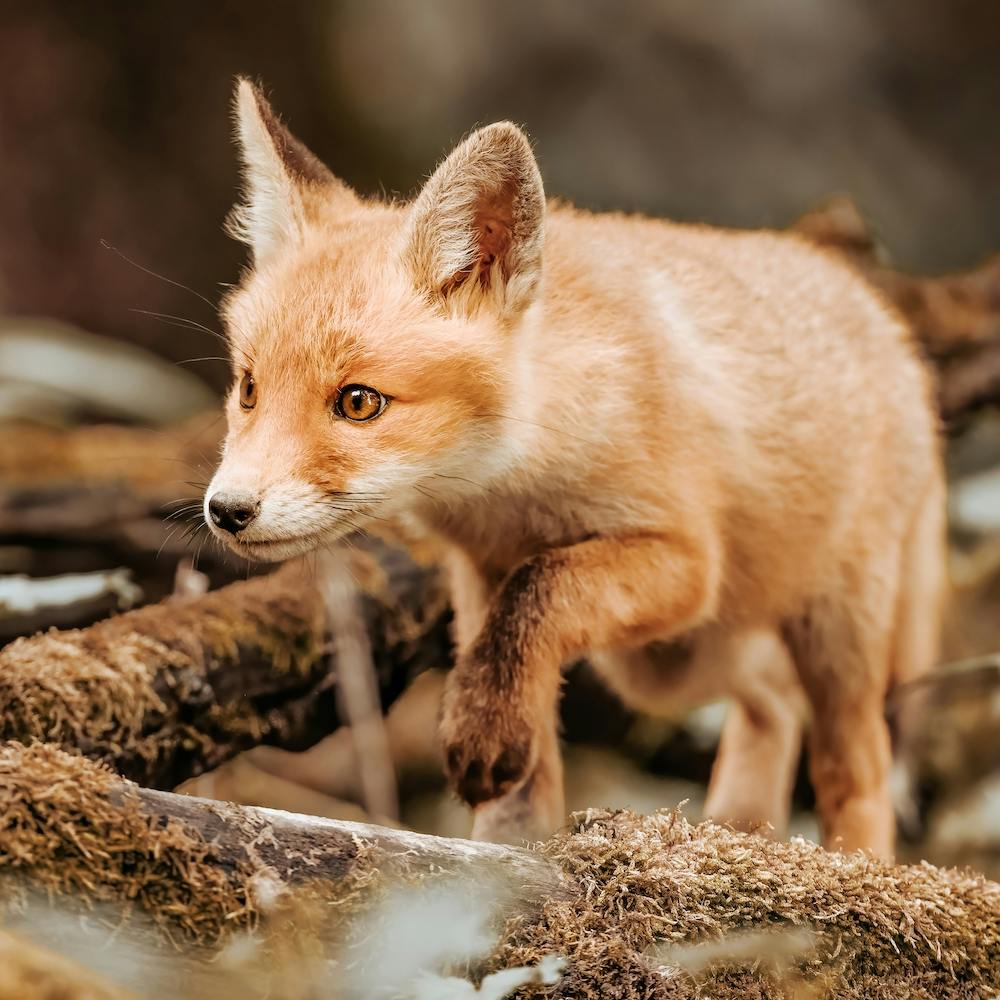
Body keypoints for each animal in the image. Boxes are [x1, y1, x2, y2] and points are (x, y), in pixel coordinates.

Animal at [204, 78, 945, 857]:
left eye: (357, 402)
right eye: (248, 389)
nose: (226, 510)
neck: (509, 487)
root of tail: (885, 318)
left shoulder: (684, 558)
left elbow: (539, 594)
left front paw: (484, 735)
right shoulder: (481, 572)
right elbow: (514, 688)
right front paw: (503, 846)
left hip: (825, 633)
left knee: (856, 764)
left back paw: (855, 862)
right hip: (674, 662)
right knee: (771, 701)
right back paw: (740, 827)